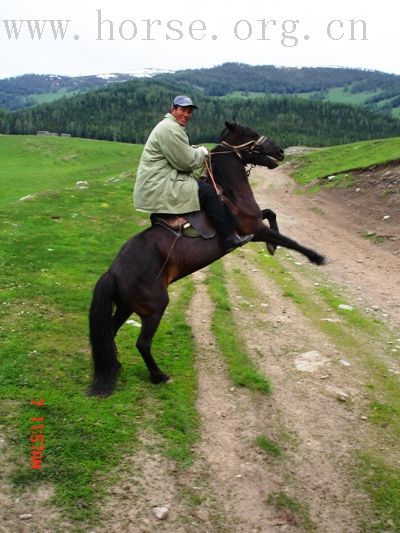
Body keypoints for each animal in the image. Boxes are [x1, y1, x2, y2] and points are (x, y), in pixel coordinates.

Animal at [88, 121, 324, 394]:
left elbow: (271, 214)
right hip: (154, 308)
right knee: (143, 343)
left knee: (111, 332)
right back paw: (159, 375)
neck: (230, 195)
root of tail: (113, 271)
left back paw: (116, 367)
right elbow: (289, 240)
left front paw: (273, 248)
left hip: (127, 306)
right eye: (252, 134)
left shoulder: (256, 227)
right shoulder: (254, 230)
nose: (281, 151)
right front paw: (316, 257)